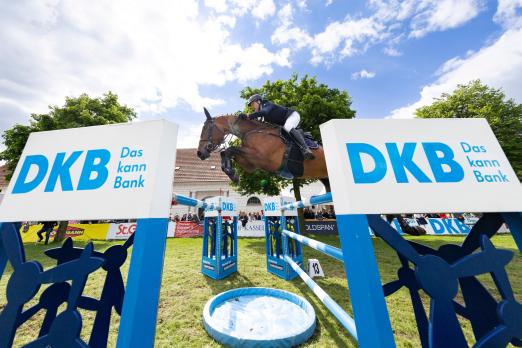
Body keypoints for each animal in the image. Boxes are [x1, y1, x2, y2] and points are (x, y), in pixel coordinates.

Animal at [196, 108, 330, 190]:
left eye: (206, 129)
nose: (200, 153)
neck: (253, 131)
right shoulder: (251, 164)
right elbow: (226, 152)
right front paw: (232, 174)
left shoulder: (262, 158)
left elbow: (230, 149)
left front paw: (232, 173)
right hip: (325, 178)